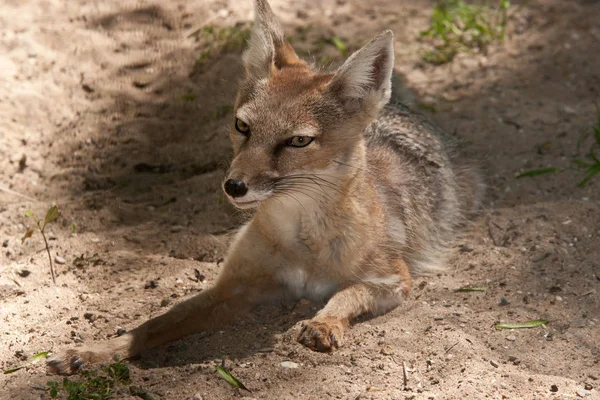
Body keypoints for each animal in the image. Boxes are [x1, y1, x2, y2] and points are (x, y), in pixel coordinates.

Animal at [49, 0, 486, 376]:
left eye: (298, 141)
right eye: (242, 126)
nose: (234, 186)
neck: (304, 245)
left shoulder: (394, 281)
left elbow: (345, 295)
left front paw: (324, 323)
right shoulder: (230, 289)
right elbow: (155, 323)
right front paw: (94, 350)